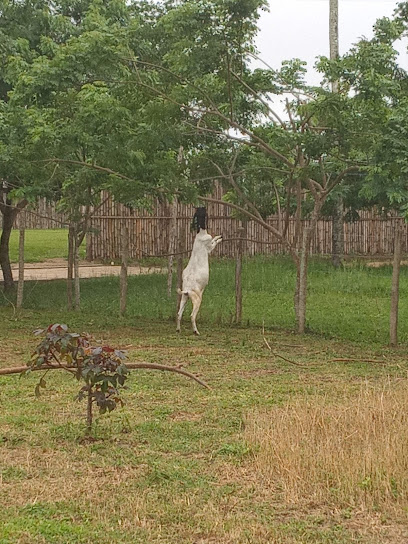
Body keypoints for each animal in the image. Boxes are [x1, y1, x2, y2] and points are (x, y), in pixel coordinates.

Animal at [177, 208, 223, 336]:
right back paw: (196, 331)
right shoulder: (209, 247)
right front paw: (220, 237)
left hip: (184, 298)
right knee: (192, 316)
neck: (200, 234)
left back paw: (178, 329)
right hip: (197, 300)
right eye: (203, 209)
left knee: (178, 314)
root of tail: (187, 289)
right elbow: (214, 241)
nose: (206, 208)